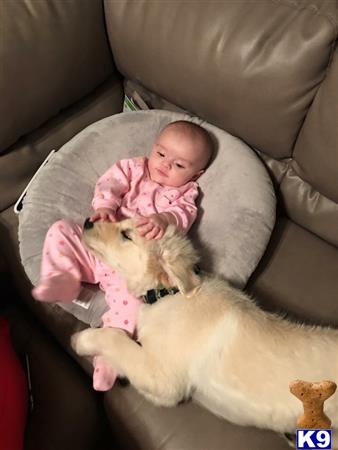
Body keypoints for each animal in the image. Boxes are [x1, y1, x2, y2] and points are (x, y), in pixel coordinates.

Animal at [72, 220, 338, 444]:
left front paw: (81, 340)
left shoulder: (165, 381)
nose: (88, 220)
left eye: (126, 235)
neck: (170, 293)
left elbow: (115, 338)